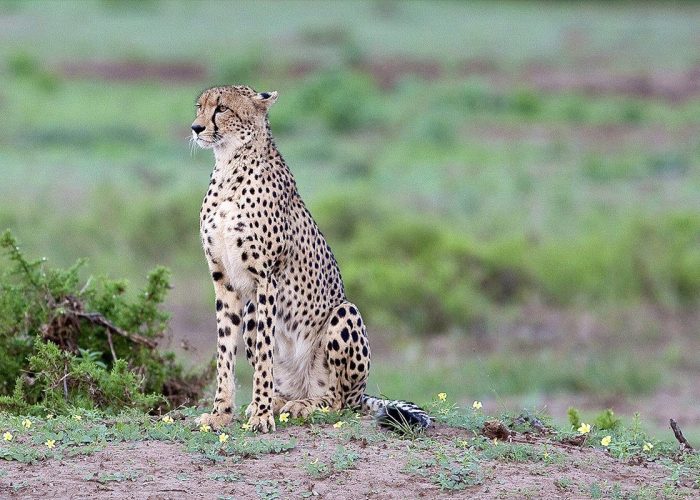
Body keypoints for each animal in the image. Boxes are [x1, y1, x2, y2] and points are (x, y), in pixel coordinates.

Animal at [193, 84, 432, 432]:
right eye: (199, 107)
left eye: (222, 108)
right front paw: (221, 413)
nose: (196, 128)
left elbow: (264, 353)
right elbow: (225, 350)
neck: (229, 167)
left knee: (340, 402)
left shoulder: (267, 279)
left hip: (344, 314)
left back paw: (302, 405)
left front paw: (262, 415)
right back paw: (278, 401)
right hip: (252, 313)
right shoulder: (224, 281)